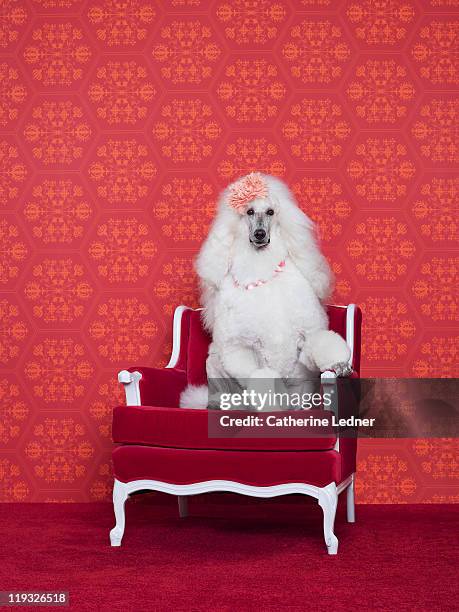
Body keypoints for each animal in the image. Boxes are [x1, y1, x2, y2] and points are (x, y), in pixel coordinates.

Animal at [181, 173, 352, 412]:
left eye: (271, 212)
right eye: (249, 212)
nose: (260, 234)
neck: (261, 269)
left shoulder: (307, 335)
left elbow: (321, 342)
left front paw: (338, 363)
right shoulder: (239, 349)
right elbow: (260, 377)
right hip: (214, 364)